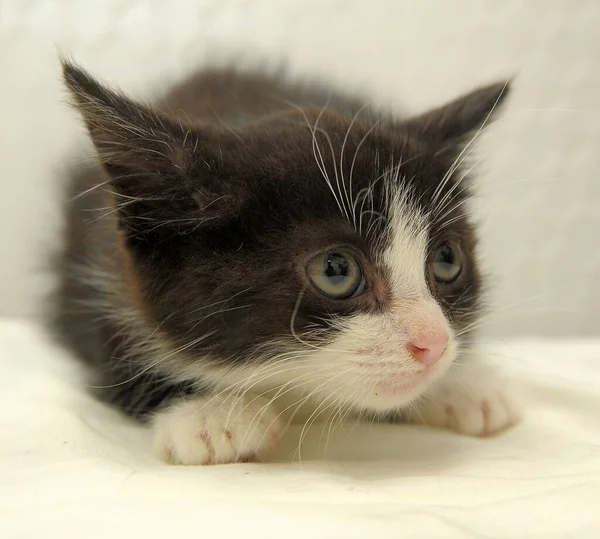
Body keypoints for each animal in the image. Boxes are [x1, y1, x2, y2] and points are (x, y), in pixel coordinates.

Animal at [50, 58, 520, 464]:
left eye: (446, 260)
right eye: (336, 270)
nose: (434, 344)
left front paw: (461, 384)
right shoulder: (94, 278)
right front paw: (210, 414)